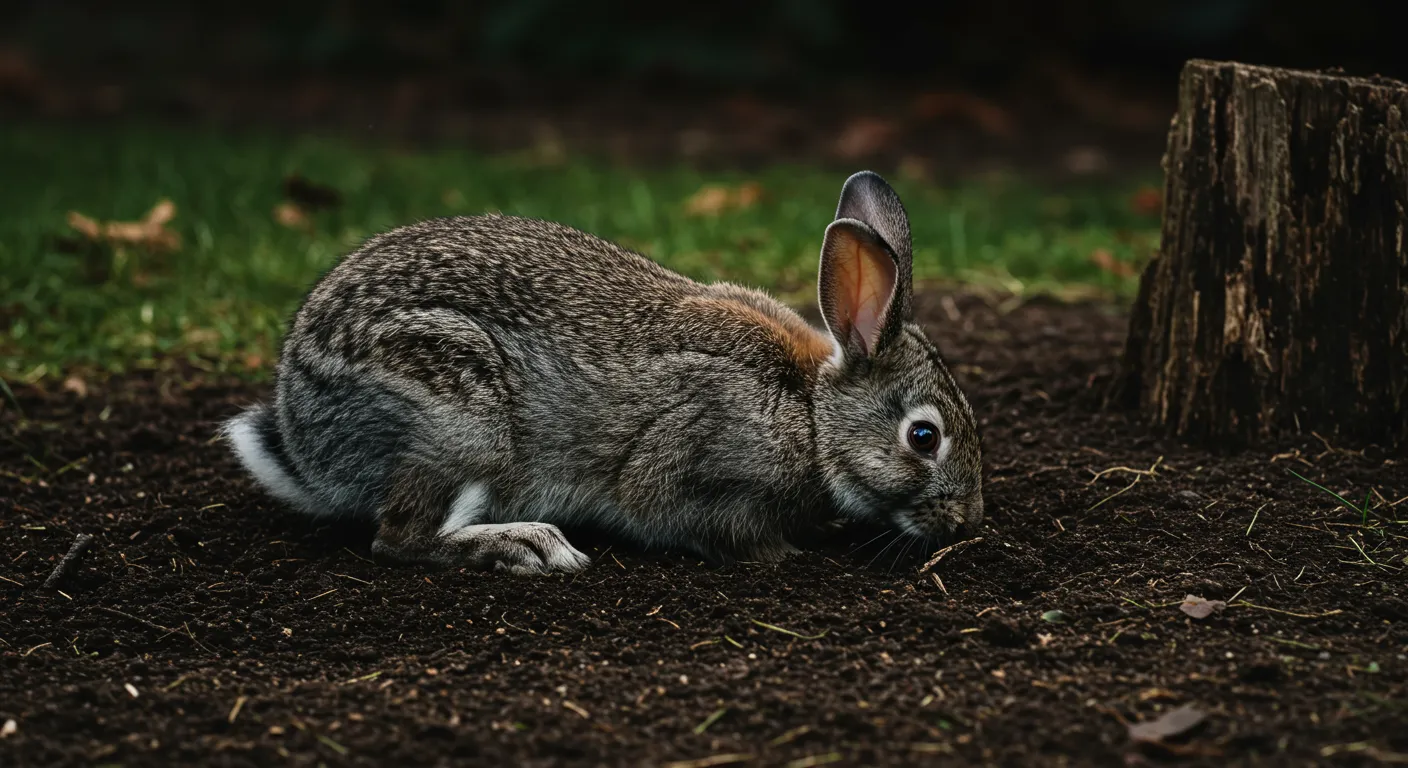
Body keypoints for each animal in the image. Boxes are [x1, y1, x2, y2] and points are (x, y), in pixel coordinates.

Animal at [223, 171, 984, 573]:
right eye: (923, 437)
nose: (966, 521)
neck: (811, 415)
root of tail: (299, 428)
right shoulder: (697, 456)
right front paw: (789, 552)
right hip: (455, 415)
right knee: (400, 537)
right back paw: (530, 545)